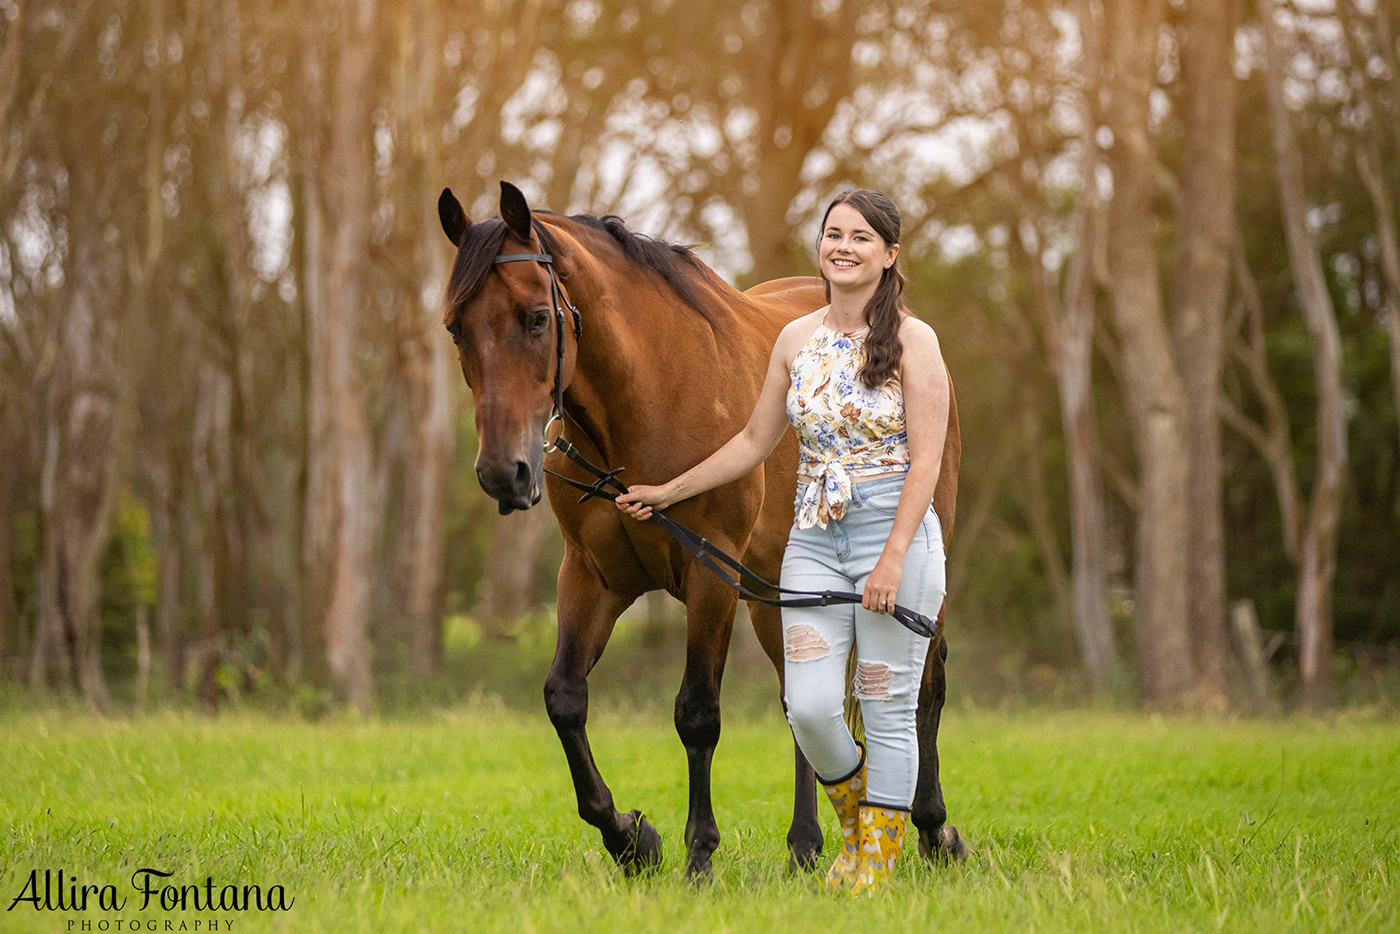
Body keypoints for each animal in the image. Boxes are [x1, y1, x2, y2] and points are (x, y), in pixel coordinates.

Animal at [436, 180, 963, 879]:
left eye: (537, 318)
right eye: (455, 328)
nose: (504, 473)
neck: (644, 402)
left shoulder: (708, 576)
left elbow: (697, 714)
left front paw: (699, 854)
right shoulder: (591, 576)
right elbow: (565, 699)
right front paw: (631, 838)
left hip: (909, 575)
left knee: (925, 685)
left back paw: (933, 830)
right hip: (780, 594)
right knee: (802, 700)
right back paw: (805, 844)